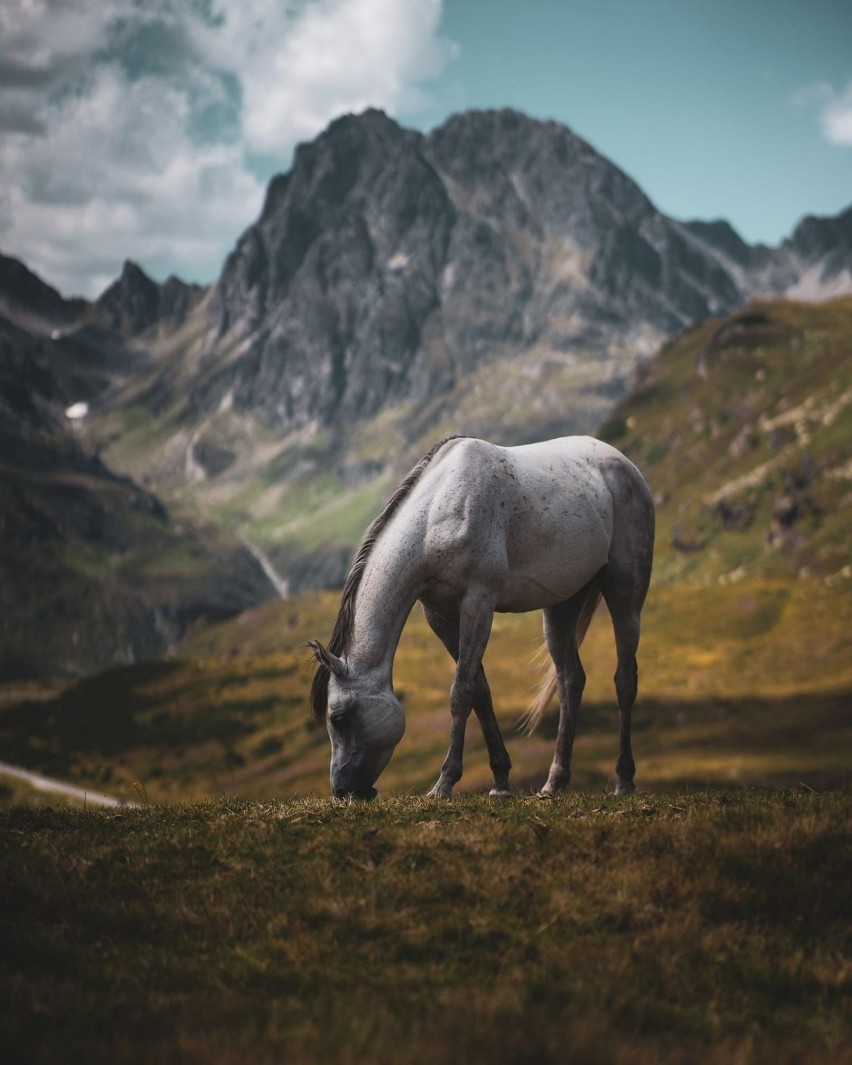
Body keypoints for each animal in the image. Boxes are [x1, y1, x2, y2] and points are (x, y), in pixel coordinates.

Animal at [308, 434, 656, 800]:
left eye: (338, 718)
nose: (341, 790)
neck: (437, 516)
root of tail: (624, 464)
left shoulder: (478, 603)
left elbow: (461, 692)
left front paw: (444, 783)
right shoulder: (441, 617)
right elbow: (480, 692)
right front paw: (500, 782)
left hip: (625, 592)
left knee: (624, 679)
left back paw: (624, 781)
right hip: (562, 604)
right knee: (570, 681)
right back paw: (553, 783)